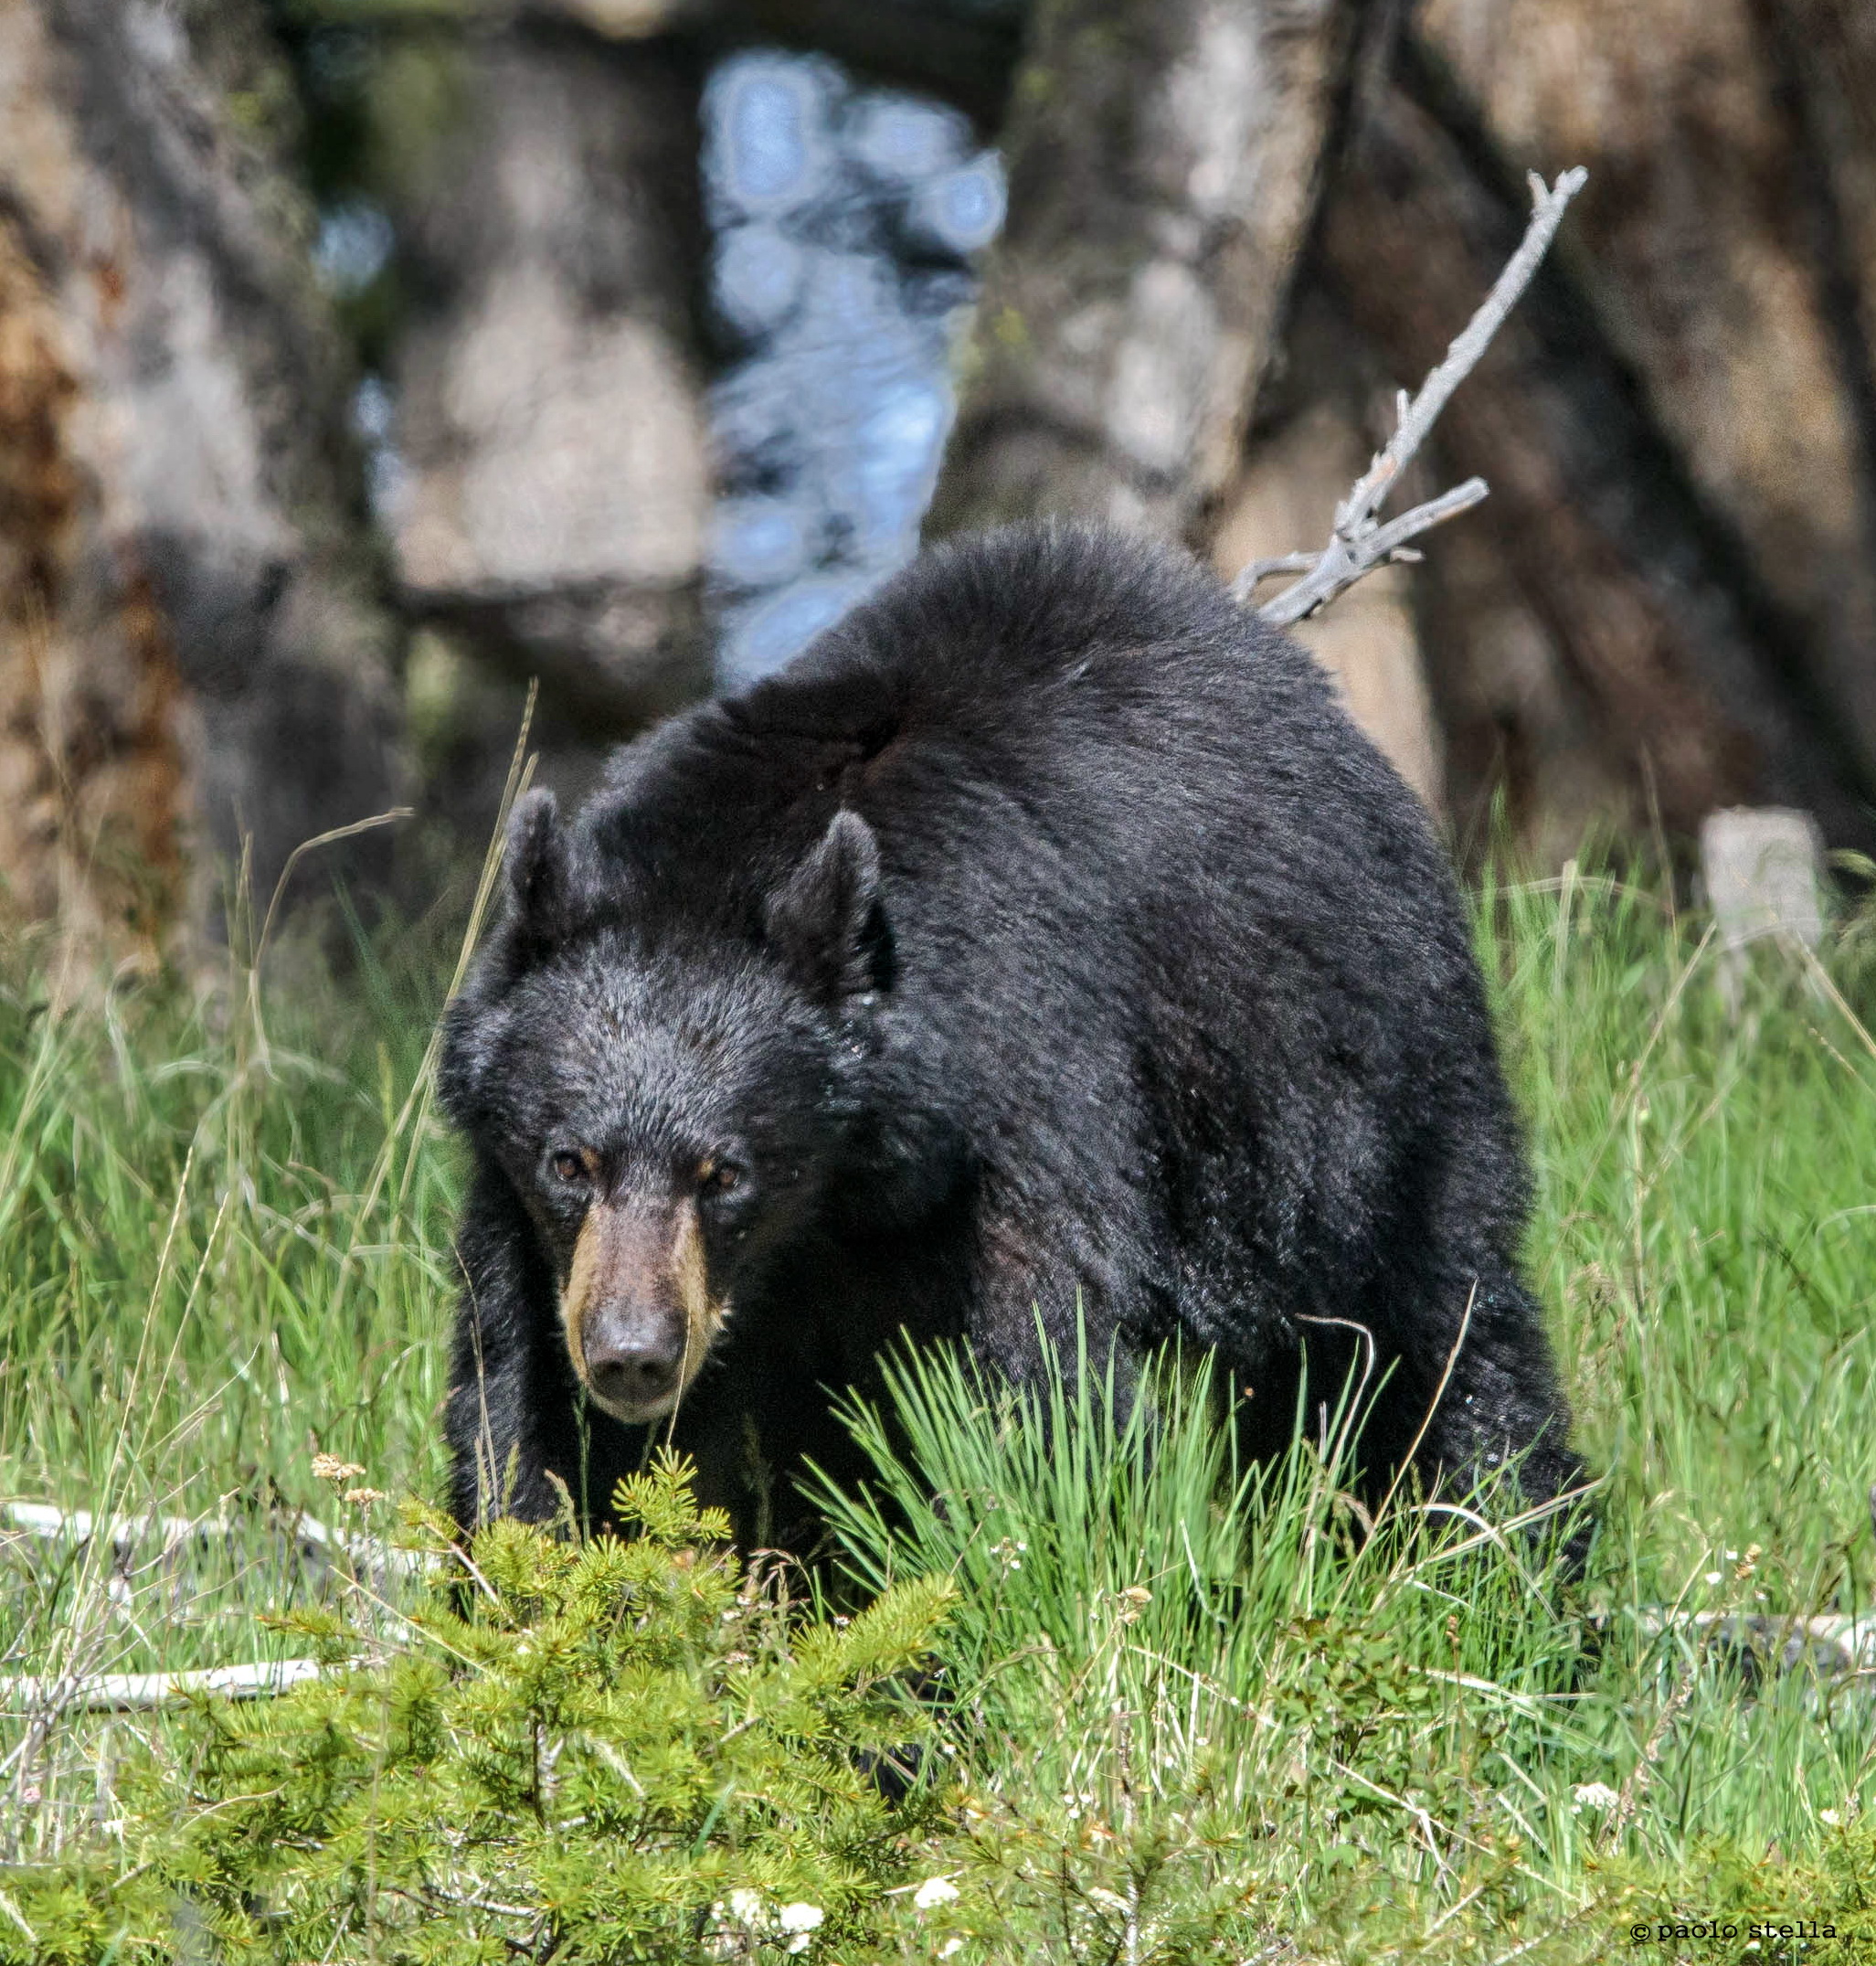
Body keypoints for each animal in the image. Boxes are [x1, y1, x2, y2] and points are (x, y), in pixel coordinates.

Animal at [437, 521, 1584, 1553]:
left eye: (726, 1172)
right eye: (570, 1161)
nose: (632, 1354)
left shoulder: (1029, 1091)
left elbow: (1035, 1372)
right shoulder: (524, 1213)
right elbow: (517, 1399)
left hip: (1352, 1074)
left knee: (1431, 1327)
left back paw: (1507, 1550)